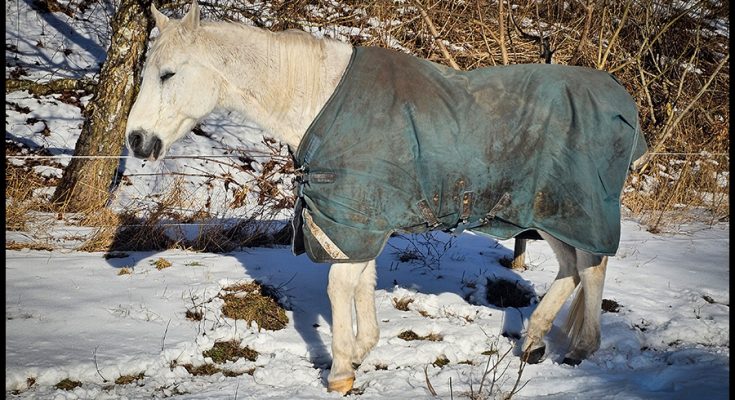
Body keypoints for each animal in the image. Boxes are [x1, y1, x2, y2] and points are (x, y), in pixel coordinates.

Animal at [125, 1, 646, 394]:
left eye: (167, 74)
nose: (136, 140)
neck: (320, 99)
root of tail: (622, 102)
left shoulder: (352, 214)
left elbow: (341, 286)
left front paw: (340, 370)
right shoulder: (361, 218)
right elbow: (363, 281)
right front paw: (362, 350)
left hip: (567, 209)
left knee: (590, 266)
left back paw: (578, 349)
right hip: (546, 212)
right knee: (573, 269)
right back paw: (537, 341)